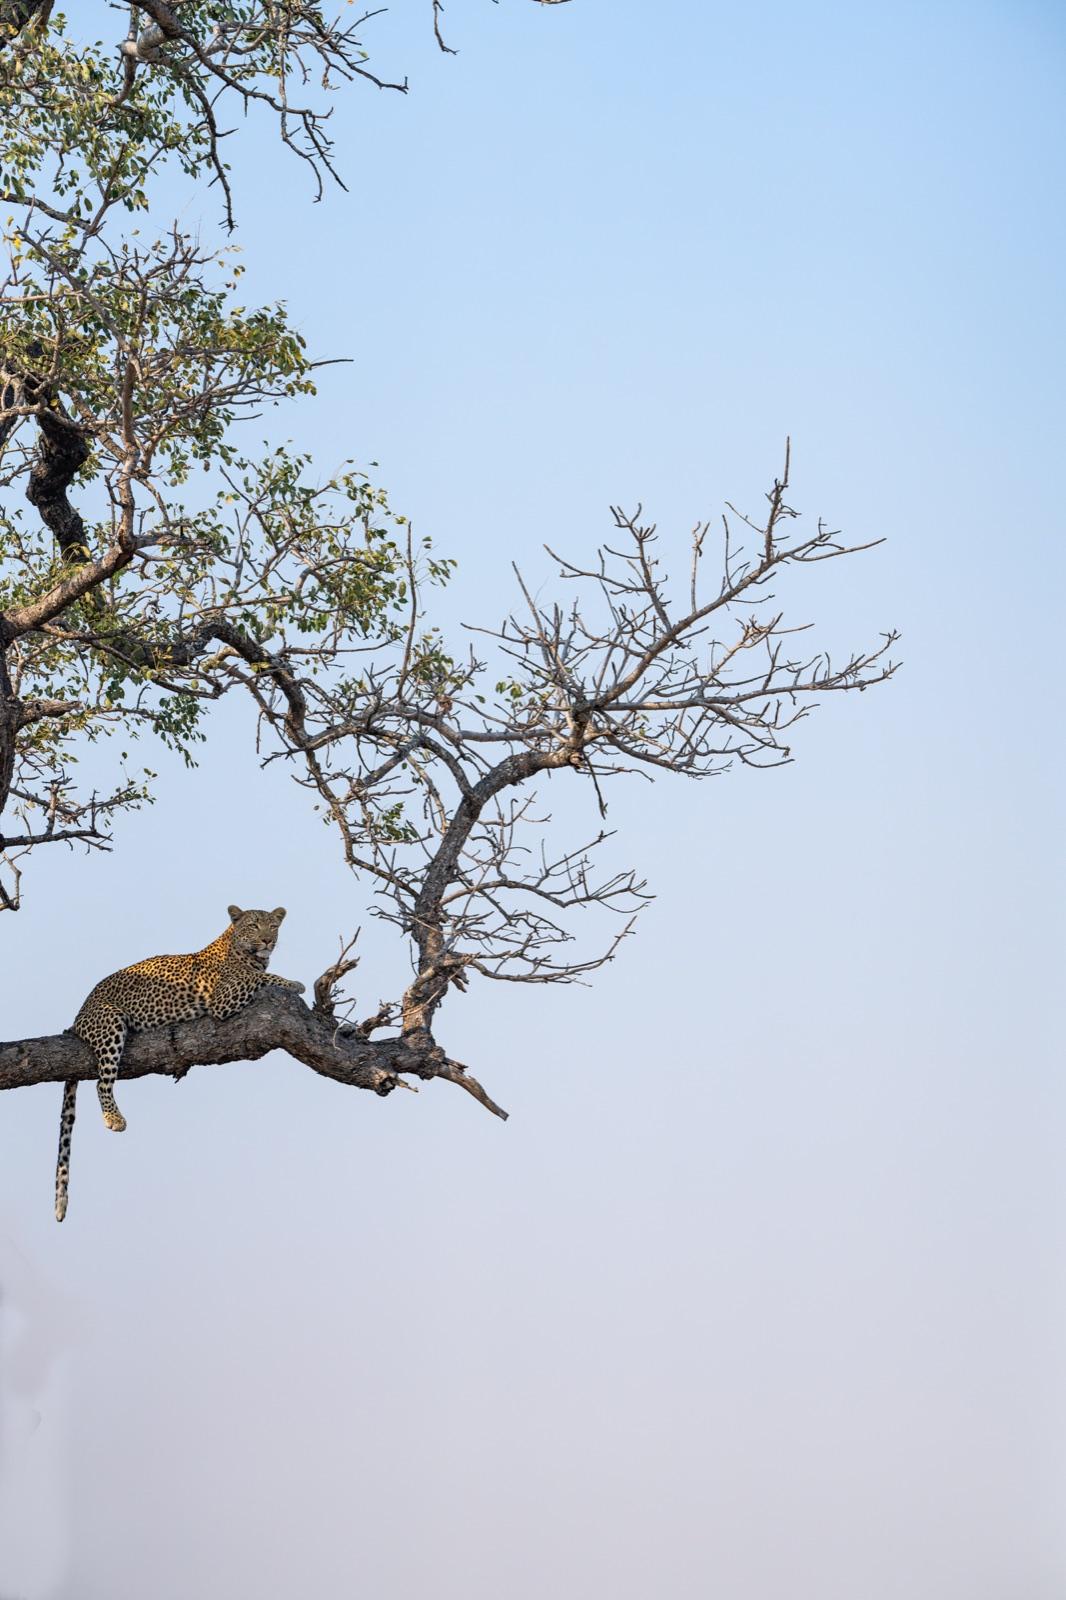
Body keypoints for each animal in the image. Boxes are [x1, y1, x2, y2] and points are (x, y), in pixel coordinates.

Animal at [55, 905, 305, 1222]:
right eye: (253, 925)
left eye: (273, 926)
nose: (267, 941)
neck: (239, 950)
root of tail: (77, 1018)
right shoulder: (223, 998)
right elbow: (259, 978)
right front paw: (294, 983)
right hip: (110, 1021)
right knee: (102, 1081)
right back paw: (114, 1118)